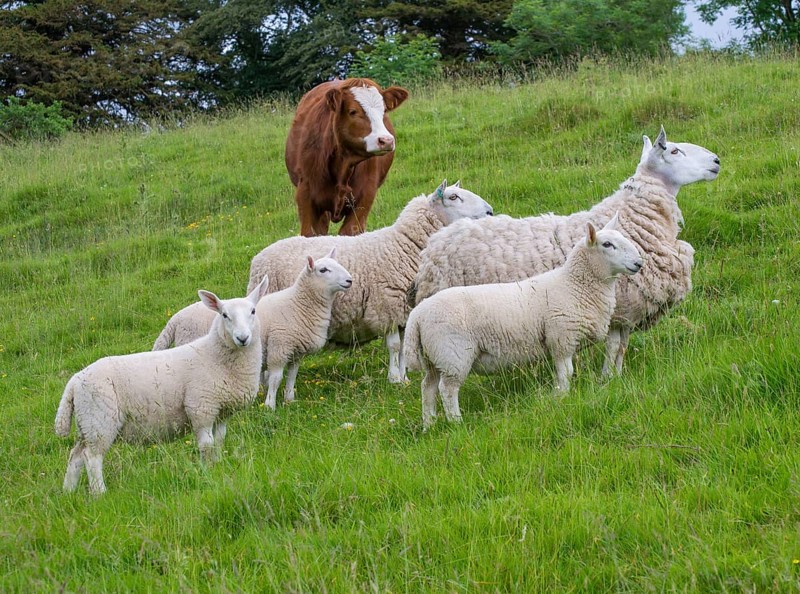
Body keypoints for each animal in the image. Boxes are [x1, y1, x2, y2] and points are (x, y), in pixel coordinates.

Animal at [54, 278, 269, 494]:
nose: (242, 338)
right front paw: (207, 471)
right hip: (100, 420)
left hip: (87, 423)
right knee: (92, 457)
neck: (214, 355)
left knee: (76, 455)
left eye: (253, 311)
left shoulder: (221, 412)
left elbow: (219, 442)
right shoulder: (201, 408)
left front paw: (217, 466)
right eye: (225, 315)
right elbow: (206, 445)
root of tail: (74, 382)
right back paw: (100, 493)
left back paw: (68, 491)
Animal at [246, 179, 494, 383]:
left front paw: (404, 378)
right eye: (453, 197)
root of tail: (258, 258)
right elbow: (394, 346)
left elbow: (402, 348)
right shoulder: (387, 305)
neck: (403, 246)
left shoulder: (404, 311)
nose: (490, 211)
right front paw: (394, 379)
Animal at [257, 249, 352, 409]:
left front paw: (289, 400)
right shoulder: (279, 348)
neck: (297, 305)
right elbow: (276, 379)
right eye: (323, 270)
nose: (349, 280)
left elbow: (292, 376)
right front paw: (270, 405)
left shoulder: (297, 353)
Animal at [403, 215, 643, 429]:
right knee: (447, 389)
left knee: (428, 388)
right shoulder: (561, 339)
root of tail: (417, 315)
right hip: (453, 355)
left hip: (435, 358)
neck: (575, 285)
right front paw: (562, 396)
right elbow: (566, 372)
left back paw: (429, 424)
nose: (639, 263)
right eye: (607, 244)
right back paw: (456, 423)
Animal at [413, 127, 720, 376]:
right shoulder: (617, 307)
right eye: (674, 150)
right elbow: (613, 348)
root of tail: (434, 246)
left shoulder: (624, 314)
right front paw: (607, 379)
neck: (633, 218)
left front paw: (617, 377)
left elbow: (621, 348)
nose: (717, 161)